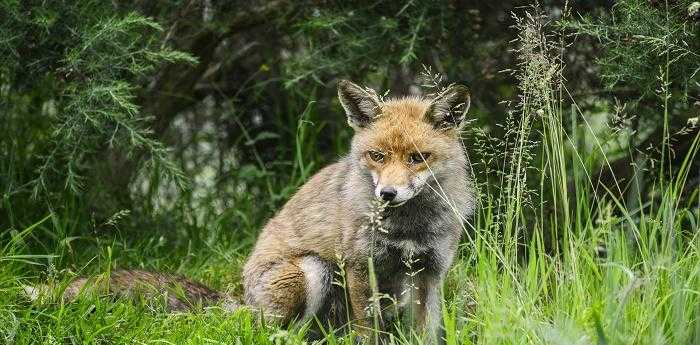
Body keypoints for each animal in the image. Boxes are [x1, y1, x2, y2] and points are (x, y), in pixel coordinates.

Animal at [27, 80, 476, 342]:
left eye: (418, 158)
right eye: (377, 156)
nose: (386, 194)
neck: (410, 227)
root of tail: (241, 298)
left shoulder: (429, 273)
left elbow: (427, 333)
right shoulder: (359, 266)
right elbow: (367, 335)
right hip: (312, 270)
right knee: (268, 331)